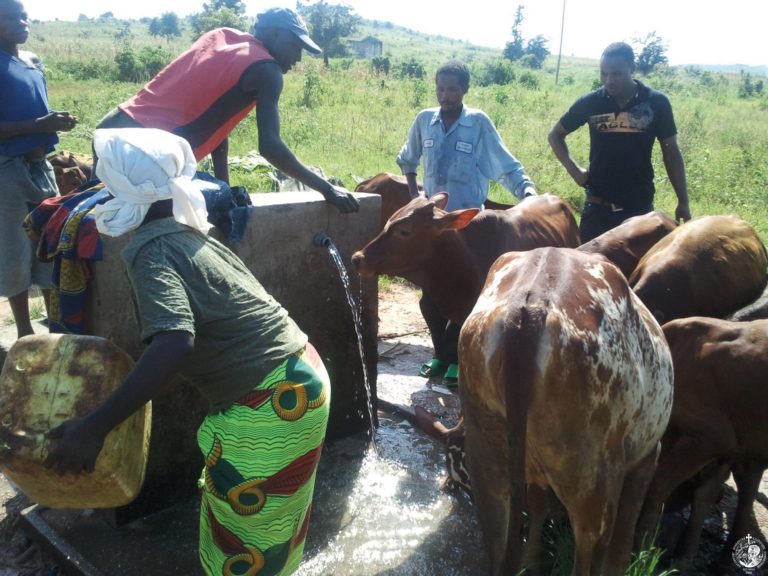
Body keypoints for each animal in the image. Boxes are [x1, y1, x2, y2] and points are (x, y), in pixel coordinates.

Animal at [460, 248, 676, 576]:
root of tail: (529, 309)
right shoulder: (647, 456)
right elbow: (622, 542)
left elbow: (537, 506)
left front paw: (532, 563)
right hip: (592, 481)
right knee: (590, 550)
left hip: (488, 460)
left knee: (498, 535)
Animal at [636, 318, 768, 568]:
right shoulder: (728, 452)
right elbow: (704, 495)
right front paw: (684, 555)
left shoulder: (709, 439)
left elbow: (658, 485)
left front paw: (641, 547)